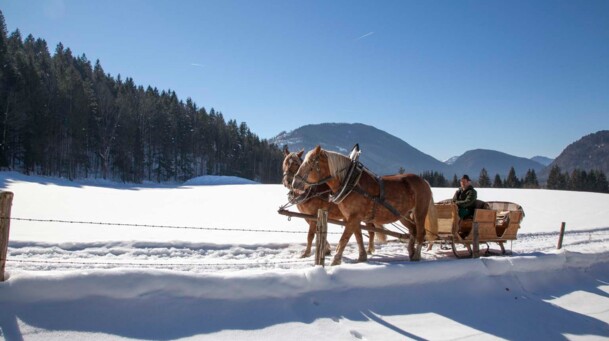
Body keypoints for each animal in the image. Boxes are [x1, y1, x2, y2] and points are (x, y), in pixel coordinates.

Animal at [290, 145, 436, 264]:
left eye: (310, 163)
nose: (294, 183)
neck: (351, 184)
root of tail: (424, 181)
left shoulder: (354, 217)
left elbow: (345, 238)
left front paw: (336, 259)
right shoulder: (352, 217)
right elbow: (358, 236)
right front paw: (362, 256)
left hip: (420, 211)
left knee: (421, 232)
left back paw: (416, 255)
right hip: (403, 214)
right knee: (412, 230)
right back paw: (411, 252)